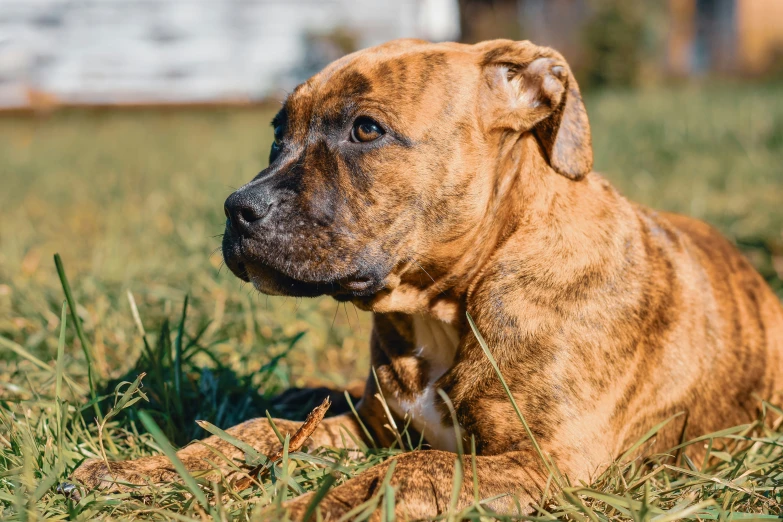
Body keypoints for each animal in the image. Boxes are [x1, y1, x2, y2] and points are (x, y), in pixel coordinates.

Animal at [67, 39, 783, 516]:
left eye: (366, 129)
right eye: (277, 133)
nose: (237, 209)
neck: (445, 307)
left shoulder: (543, 463)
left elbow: (410, 470)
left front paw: (294, 510)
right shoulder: (365, 423)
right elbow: (259, 429)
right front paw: (146, 469)